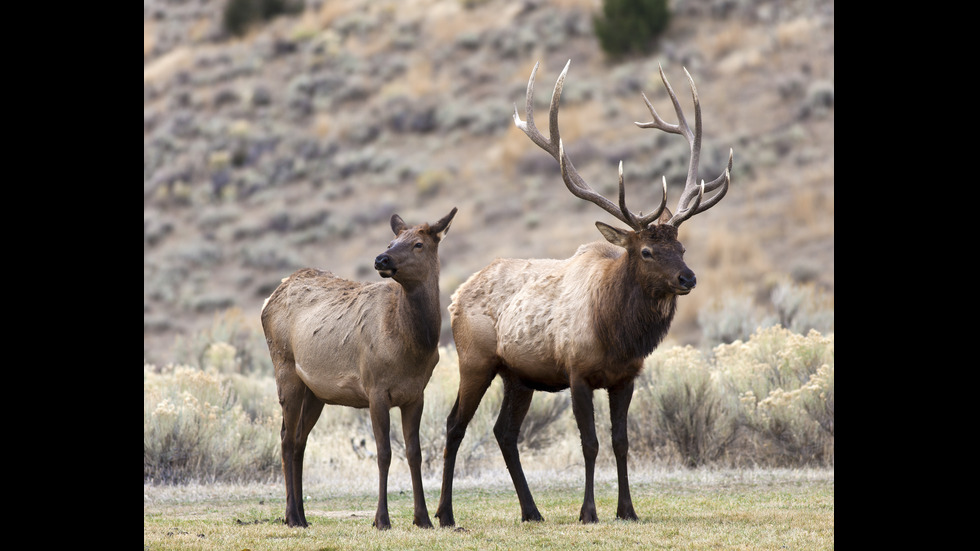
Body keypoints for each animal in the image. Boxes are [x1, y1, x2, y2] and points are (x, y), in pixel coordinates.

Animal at [260, 207, 460, 532]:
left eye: (418, 244)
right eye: (392, 242)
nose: (381, 259)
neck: (412, 346)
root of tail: (269, 298)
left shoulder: (416, 394)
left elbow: (414, 453)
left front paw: (423, 518)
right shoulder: (375, 389)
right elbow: (384, 453)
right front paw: (382, 519)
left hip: (315, 392)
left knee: (300, 440)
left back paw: (302, 515)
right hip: (285, 369)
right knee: (286, 439)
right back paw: (290, 516)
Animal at [432, 60, 732, 528]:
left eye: (682, 247)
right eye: (646, 251)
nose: (688, 278)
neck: (617, 334)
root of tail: (458, 294)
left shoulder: (626, 377)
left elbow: (621, 442)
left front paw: (627, 510)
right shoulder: (576, 372)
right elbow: (590, 443)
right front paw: (588, 511)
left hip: (518, 375)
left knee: (504, 432)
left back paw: (531, 511)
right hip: (475, 359)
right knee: (454, 425)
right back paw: (444, 514)